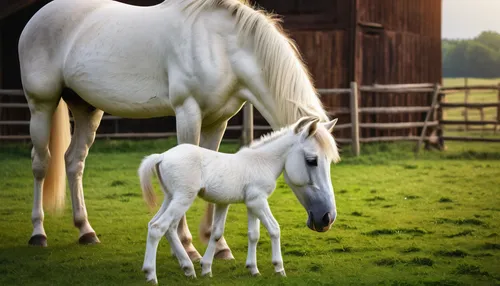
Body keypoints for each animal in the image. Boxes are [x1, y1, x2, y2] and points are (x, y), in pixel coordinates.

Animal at [19, 0, 330, 260]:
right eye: (311, 160)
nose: (327, 218)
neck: (221, 46)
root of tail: (39, 16)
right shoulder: (187, 112)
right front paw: (188, 246)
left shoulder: (218, 120)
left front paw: (219, 246)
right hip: (42, 105)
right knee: (40, 163)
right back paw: (38, 233)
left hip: (86, 109)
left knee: (74, 162)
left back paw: (86, 231)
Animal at [137, 116, 340, 282]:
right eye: (312, 160)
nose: (326, 218)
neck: (262, 162)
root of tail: (162, 156)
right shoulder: (258, 201)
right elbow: (274, 229)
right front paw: (279, 268)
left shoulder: (248, 204)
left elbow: (248, 234)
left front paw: (248, 269)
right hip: (183, 199)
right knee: (158, 227)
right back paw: (151, 274)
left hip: (170, 197)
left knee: (163, 226)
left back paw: (188, 269)